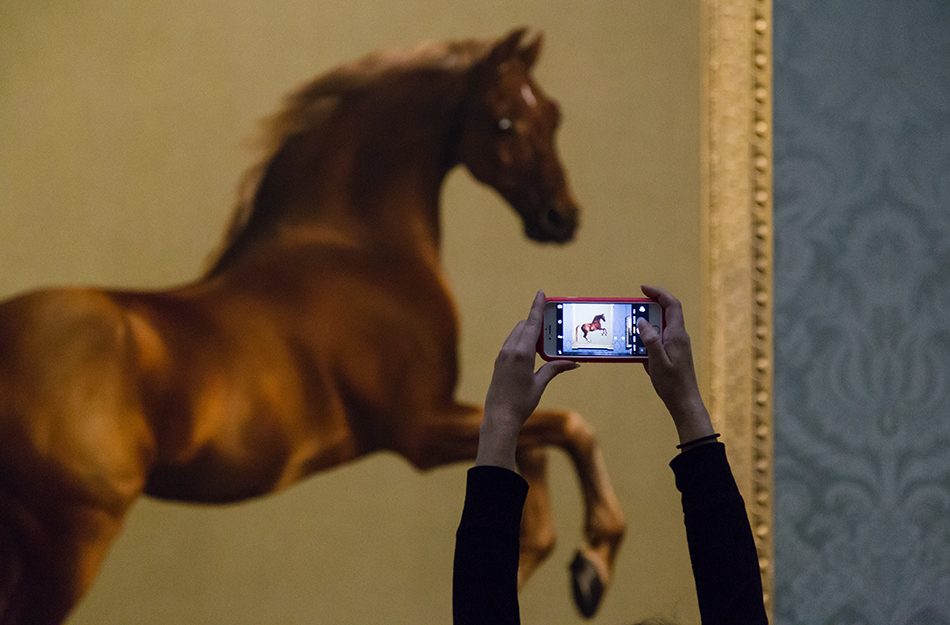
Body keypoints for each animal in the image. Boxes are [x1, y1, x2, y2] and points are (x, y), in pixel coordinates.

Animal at [0, 30, 624, 624]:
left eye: (553, 114)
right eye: (504, 121)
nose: (562, 217)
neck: (358, 248)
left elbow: (535, 453)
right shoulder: (420, 429)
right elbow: (570, 428)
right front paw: (594, 563)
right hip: (72, 544)